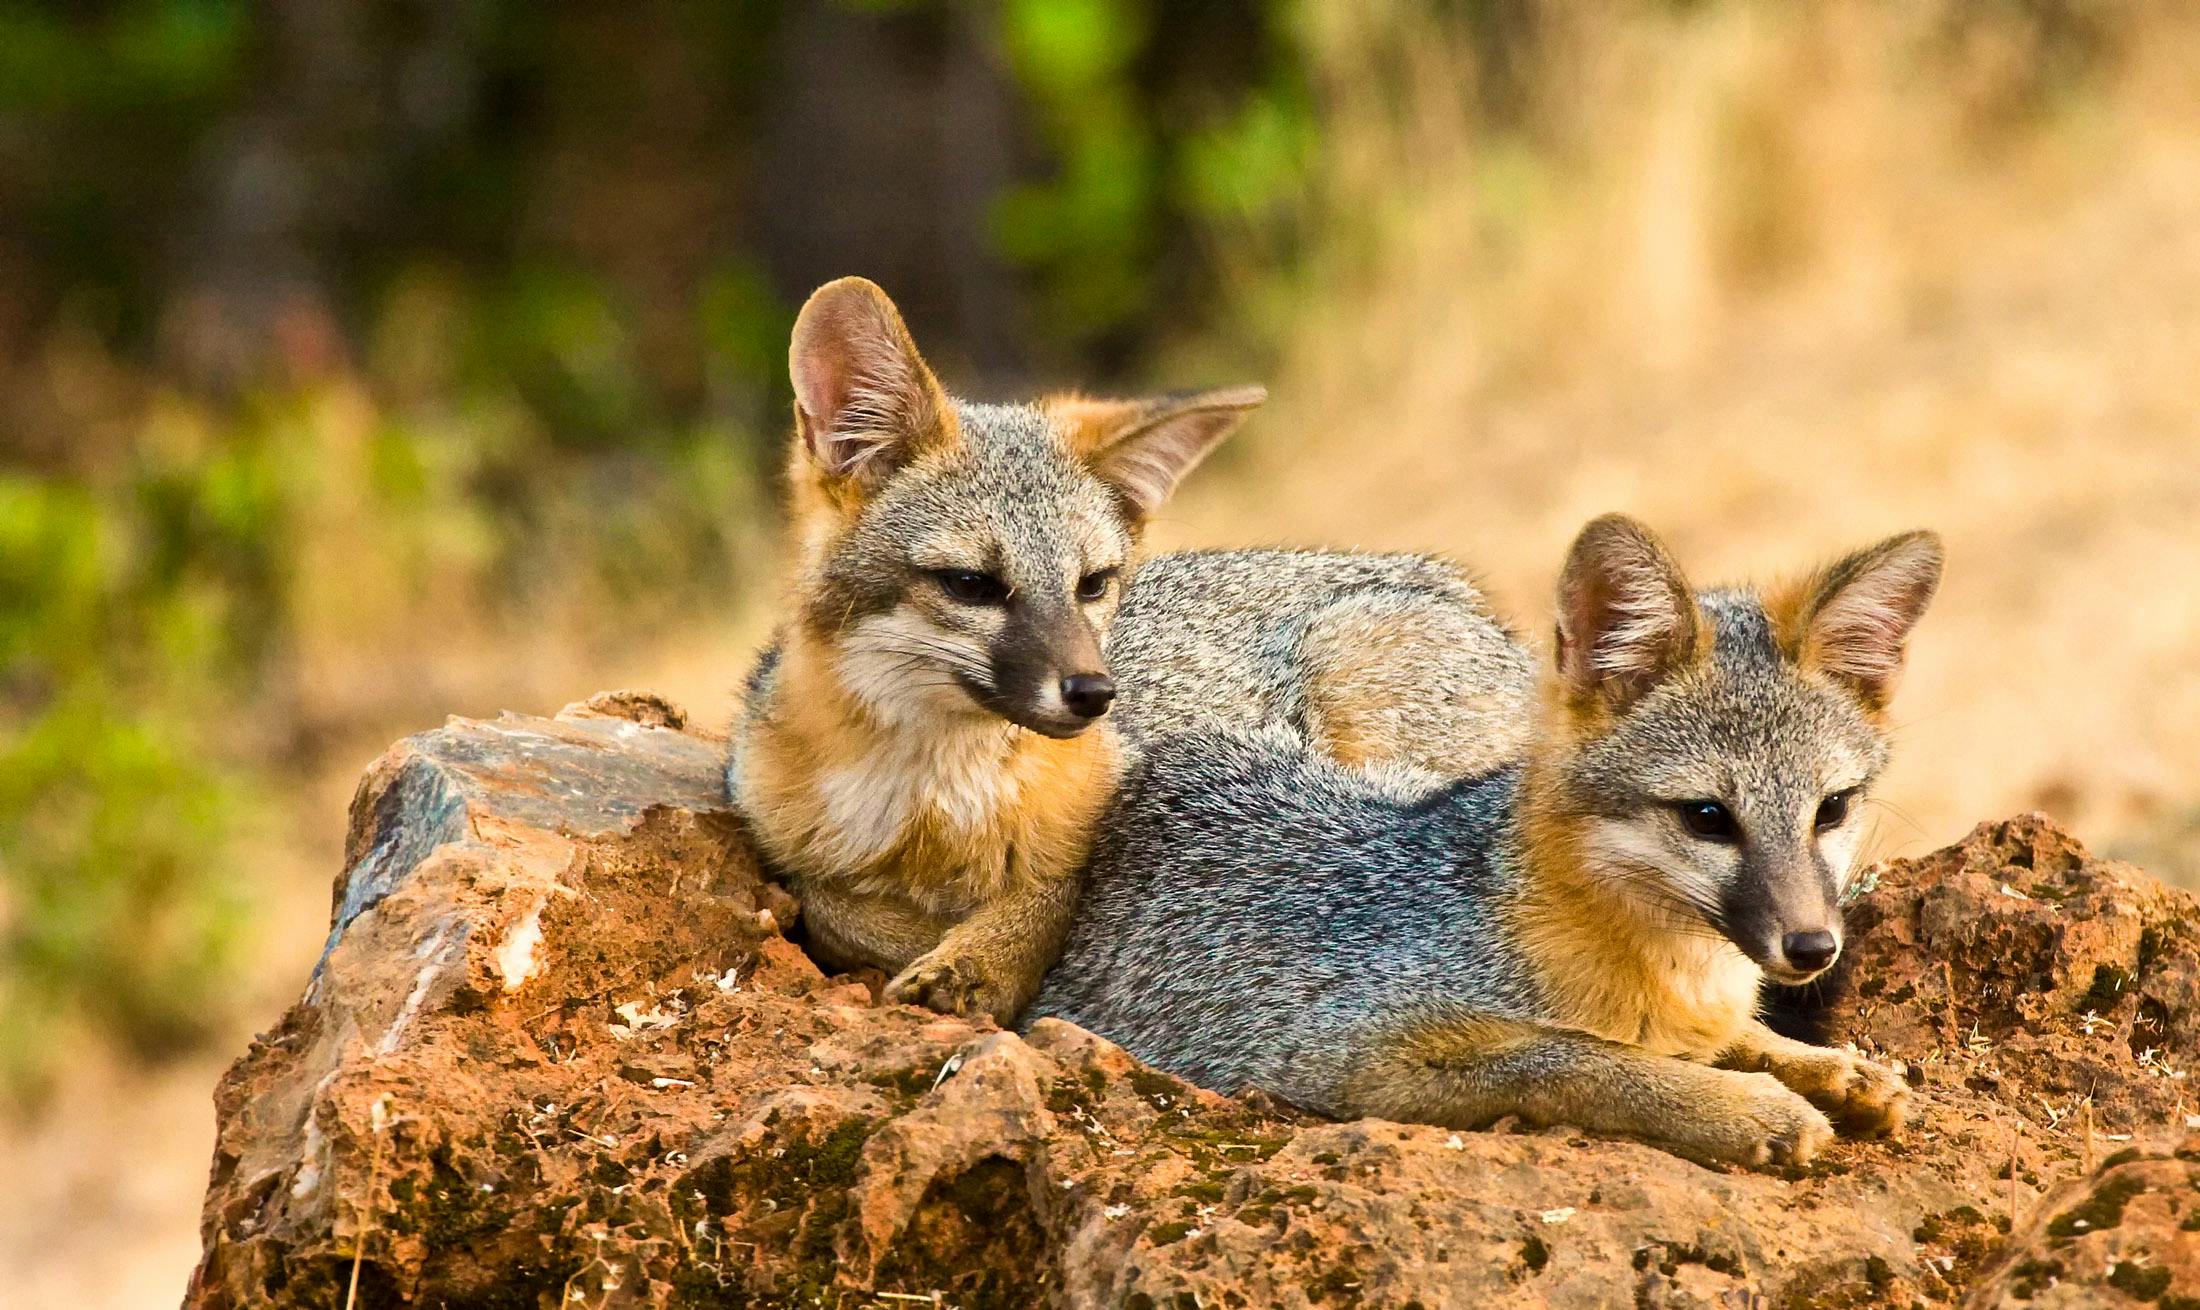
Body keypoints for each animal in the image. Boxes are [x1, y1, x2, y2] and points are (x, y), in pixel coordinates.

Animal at [728, 276, 1269, 1023]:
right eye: (971, 584)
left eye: (1093, 584)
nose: (1095, 695)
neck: (934, 814)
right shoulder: (786, 846)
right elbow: (831, 906)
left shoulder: (1093, 837)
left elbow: (1047, 896)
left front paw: (977, 961)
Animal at [1029, 515, 1944, 1168]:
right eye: (1708, 817)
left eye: (1831, 809)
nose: (1813, 946)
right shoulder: (1338, 1051)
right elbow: (1574, 1060)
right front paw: (1741, 1106)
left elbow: (1713, 1038)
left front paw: (1825, 1068)